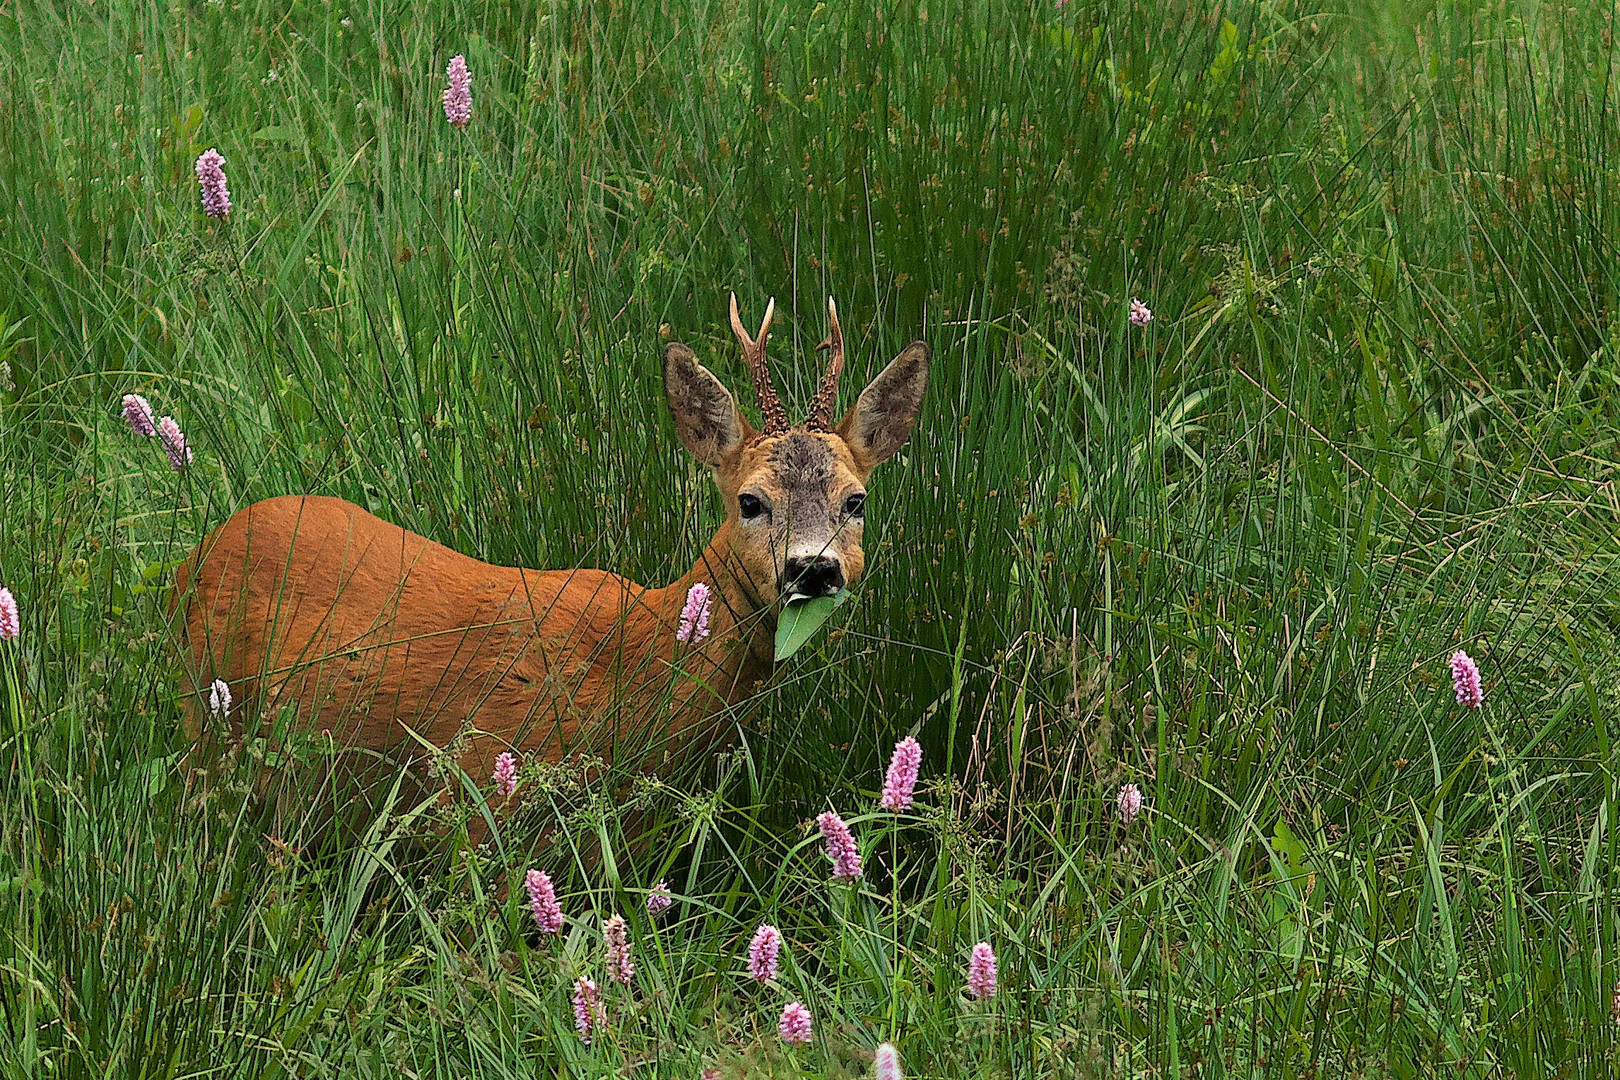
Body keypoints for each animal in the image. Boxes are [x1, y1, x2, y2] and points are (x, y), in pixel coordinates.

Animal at [172, 296, 933, 803]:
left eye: (855, 501)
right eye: (751, 501)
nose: (814, 567)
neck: (635, 663)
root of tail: (201, 550)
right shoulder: (482, 797)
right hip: (203, 716)